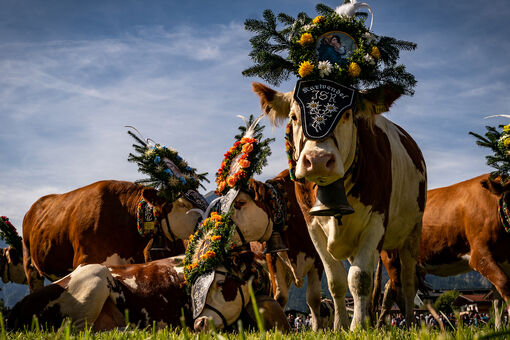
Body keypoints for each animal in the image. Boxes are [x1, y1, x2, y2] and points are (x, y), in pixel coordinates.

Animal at [243, 0, 426, 330]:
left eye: (348, 114)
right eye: (293, 116)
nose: (317, 160)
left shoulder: (376, 222)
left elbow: (361, 279)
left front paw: (357, 327)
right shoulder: (314, 228)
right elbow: (337, 282)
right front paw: (341, 324)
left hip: (411, 231)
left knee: (406, 282)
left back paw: (407, 323)